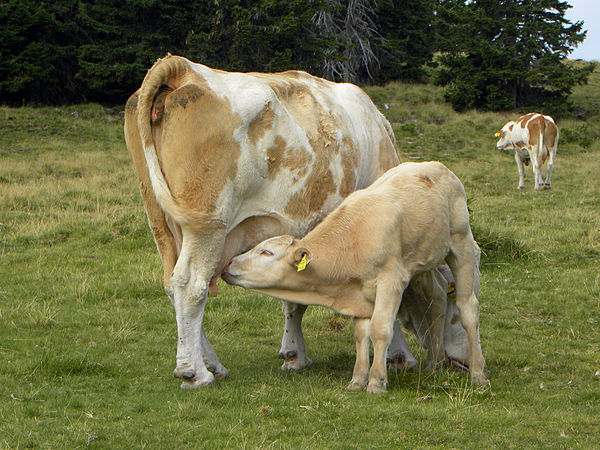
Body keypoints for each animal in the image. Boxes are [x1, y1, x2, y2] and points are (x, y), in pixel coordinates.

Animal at [123, 54, 408, 388]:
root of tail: (182, 67)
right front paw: (399, 356)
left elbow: (292, 297)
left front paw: (293, 353)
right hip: (207, 221)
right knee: (190, 284)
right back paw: (195, 372)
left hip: (161, 222)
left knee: (172, 285)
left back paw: (212, 363)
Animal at [223, 160, 490, 392]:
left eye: (266, 252)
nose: (229, 263)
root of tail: (436, 166)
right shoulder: (359, 293)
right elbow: (361, 335)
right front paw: (358, 379)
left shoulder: (390, 280)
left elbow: (380, 329)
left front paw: (376, 381)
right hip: (422, 263)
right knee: (437, 298)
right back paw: (434, 364)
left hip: (461, 243)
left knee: (468, 309)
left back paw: (479, 374)